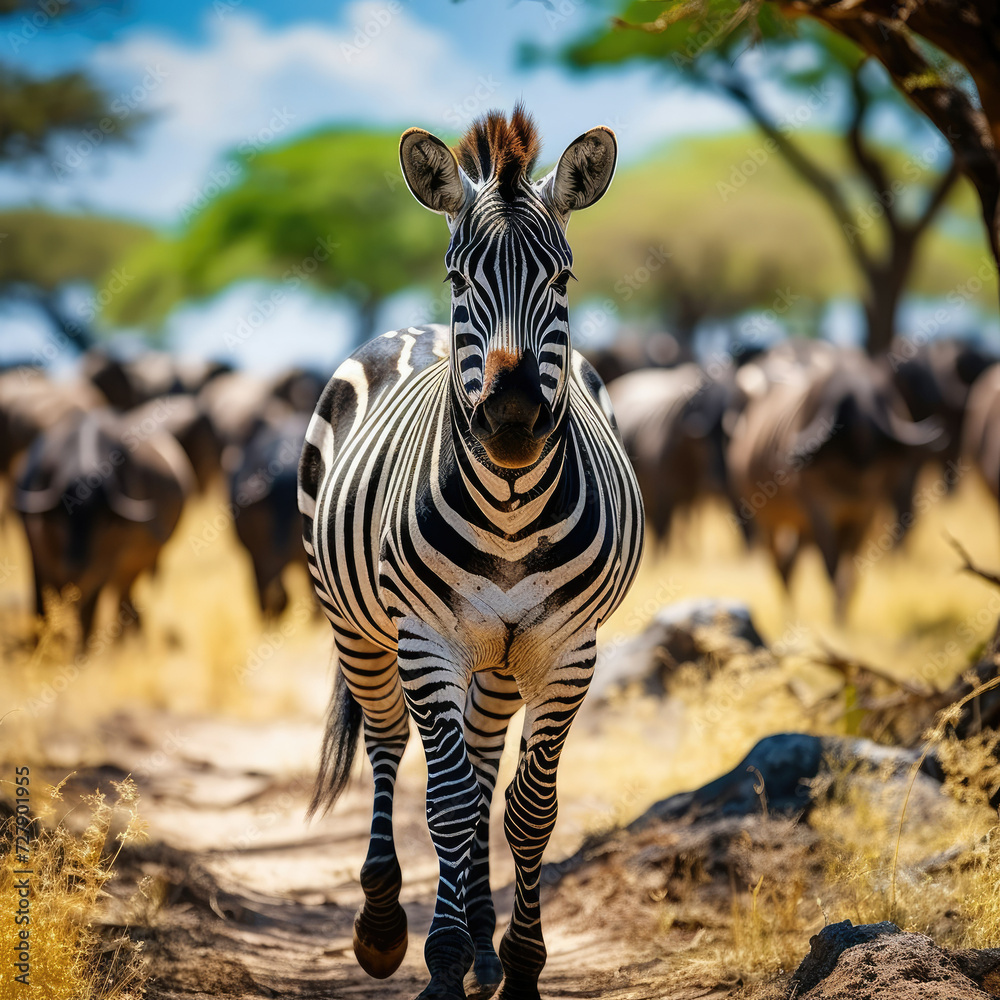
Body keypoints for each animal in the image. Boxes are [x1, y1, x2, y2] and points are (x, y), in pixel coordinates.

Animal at [298, 105, 644, 1000]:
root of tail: (411, 330)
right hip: (361, 630)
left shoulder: (568, 649)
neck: (511, 515)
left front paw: (515, 965)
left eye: (563, 281)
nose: (513, 417)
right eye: (460, 280)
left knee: (486, 770)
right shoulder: (427, 640)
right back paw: (386, 924)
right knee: (390, 745)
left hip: (499, 660)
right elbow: (448, 805)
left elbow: (527, 808)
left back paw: (484, 944)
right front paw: (441, 962)